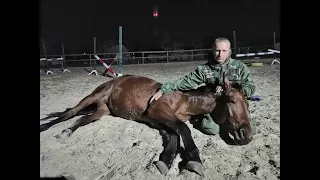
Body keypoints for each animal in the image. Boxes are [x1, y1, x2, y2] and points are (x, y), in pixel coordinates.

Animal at [40, 74, 252, 176]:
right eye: (232, 101)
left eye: (248, 104)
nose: (247, 135)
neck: (184, 100)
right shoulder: (158, 112)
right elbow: (184, 130)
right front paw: (195, 160)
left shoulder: (159, 121)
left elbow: (174, 136)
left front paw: (165, 161)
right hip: (93, 97)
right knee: (69, 113)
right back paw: (52, 129)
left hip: (102, 110)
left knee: (82, 119)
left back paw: (68, 131)